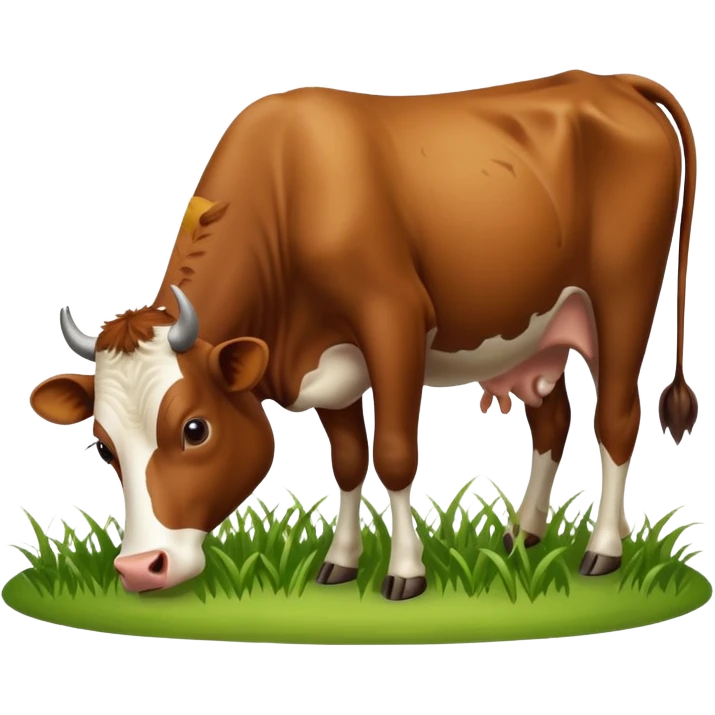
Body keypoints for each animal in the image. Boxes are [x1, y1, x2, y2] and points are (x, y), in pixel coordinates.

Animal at [28, 70, 699, 602]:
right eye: (103, 447)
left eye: (196, 430)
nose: (141, 570)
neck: (287, 193)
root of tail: (610, 83)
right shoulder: (328, 364)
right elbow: (349, 462)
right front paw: (340, 563)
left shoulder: (393, 320)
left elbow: (395, 455)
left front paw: (404, 574)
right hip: (542, 330)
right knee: (553, 419)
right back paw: (525, 534)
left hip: (624, 295)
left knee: (617, 417)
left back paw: (603, 550)